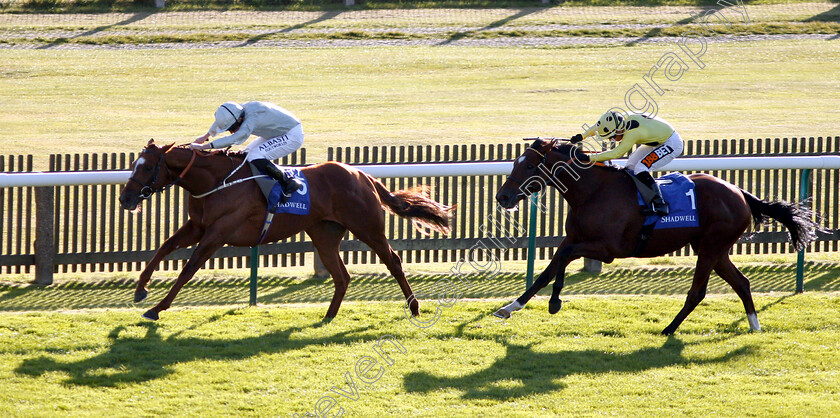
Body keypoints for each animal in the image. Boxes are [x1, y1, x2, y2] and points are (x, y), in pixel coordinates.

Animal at [118, 140, 452, 320]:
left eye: (147, 167)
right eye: (135, 164)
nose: (125, 198)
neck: (216, 181)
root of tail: (363, 175)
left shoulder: (217, 233)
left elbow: (187, 269)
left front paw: (157, 308)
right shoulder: (197, 226)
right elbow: (163, 248)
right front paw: (140, 289)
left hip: (367, 227)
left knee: (393, 261)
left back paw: (414, 307)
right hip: (324, 234)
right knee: (341, 275)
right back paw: (329, 315)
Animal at [492, 139, 820, 334]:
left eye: (530, 165)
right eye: (515, 162)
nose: (502, 196)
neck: (592, 192)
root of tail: (739, 192)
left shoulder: (608, 249)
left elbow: (562, 258)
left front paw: (555, 301)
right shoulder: (573, 238)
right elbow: (548, 269)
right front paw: (510, 307)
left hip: (711, 247)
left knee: (698, 292)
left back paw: (669, 329)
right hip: (715, 248)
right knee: (741, 283)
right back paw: (754, 326)